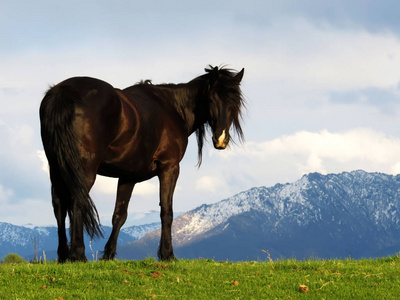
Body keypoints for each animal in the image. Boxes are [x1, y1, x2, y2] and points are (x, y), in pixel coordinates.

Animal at [39, 64, 244, 262]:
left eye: (235, 103)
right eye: (211, 99)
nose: (221, 139)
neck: (172, 108)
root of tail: (64, 90)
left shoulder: (128, 176)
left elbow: (119, 215)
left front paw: (108, 254)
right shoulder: (169, 167)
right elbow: (166, 211)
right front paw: (167, 254)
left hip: (57, 167)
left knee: (59, 205)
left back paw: (63, 255)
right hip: (83, 170)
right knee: (77, 200)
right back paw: (77, 254)